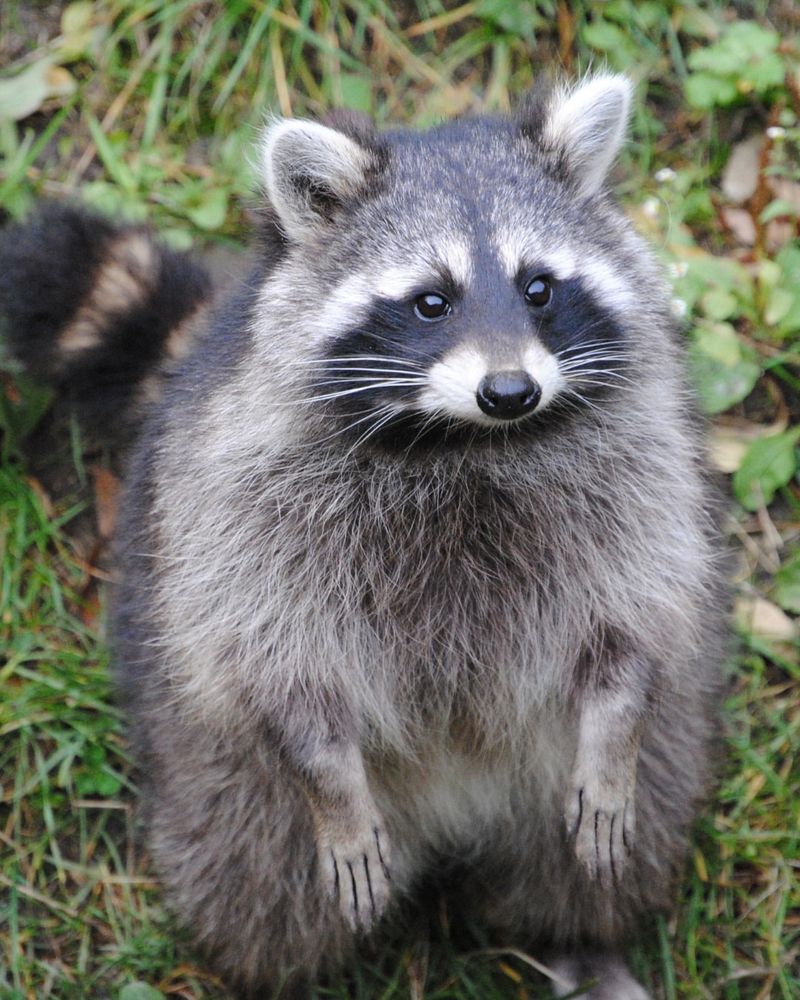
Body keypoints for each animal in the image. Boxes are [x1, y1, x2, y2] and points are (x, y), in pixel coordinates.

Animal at [0, 75, 727, 999]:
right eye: (431, 300)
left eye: (538, 287)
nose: (511, 391)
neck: (462, 442)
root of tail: (454, 821)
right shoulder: (240, 500)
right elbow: (276, 655)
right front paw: (328, 775)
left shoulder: (639, 461)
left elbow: (635, 608)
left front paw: (615, 720)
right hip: (222, 775)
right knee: (253, 882)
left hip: (614, 769)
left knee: (599, 851)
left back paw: (579, 936)